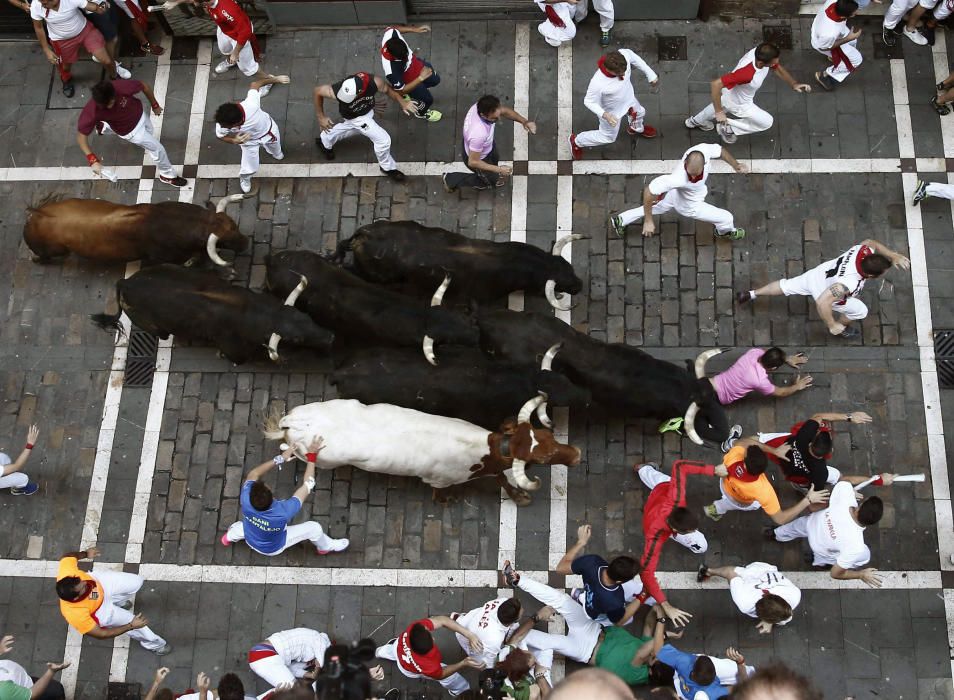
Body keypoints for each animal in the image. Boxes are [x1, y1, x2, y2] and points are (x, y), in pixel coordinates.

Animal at [89, 264, 332, 366]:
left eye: (306, 317)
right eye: (296, 339)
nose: (331, 337)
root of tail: (125, 282)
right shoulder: (236, 353)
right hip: (155, 327)